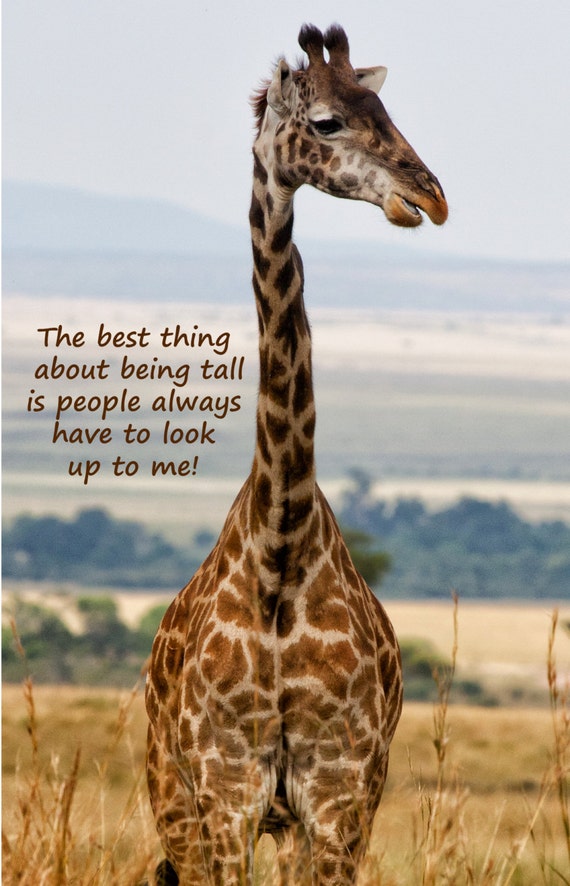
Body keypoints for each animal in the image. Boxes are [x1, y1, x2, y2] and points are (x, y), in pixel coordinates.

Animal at [145, 23, 447, 886]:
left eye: (386, 110)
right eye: (326, 122)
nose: (430, 196)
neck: (280, 546)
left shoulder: (340, 797)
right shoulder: (225, 794)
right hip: (171, 799)